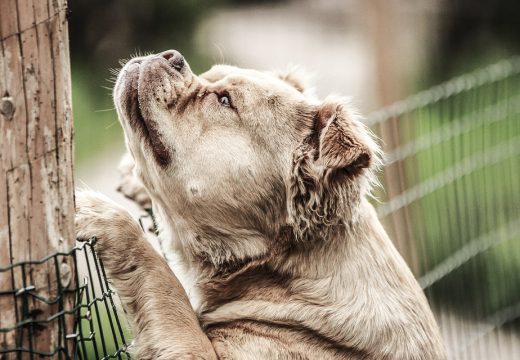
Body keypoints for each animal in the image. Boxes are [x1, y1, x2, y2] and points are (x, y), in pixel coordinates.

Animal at [75, 49, 444, 358]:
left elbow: (165, 286)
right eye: (208, 74)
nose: (172, 55)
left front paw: (101, 215)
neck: (282, 267)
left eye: (224, 100)